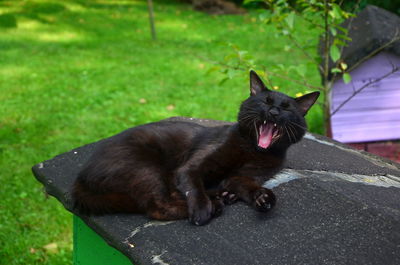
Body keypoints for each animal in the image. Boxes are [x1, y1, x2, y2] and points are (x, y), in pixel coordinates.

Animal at [73, 70, 320, 225]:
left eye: (287, 108)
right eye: (265, 102)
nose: (274, 112)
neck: (252, 150)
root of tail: (80, 180)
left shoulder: (245, 176)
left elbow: (247, 185)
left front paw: (262, 198)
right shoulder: (191, 167)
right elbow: (193, 186)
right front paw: (202, 209)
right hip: (145, 168)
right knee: (158, 206)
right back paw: (214, 205)